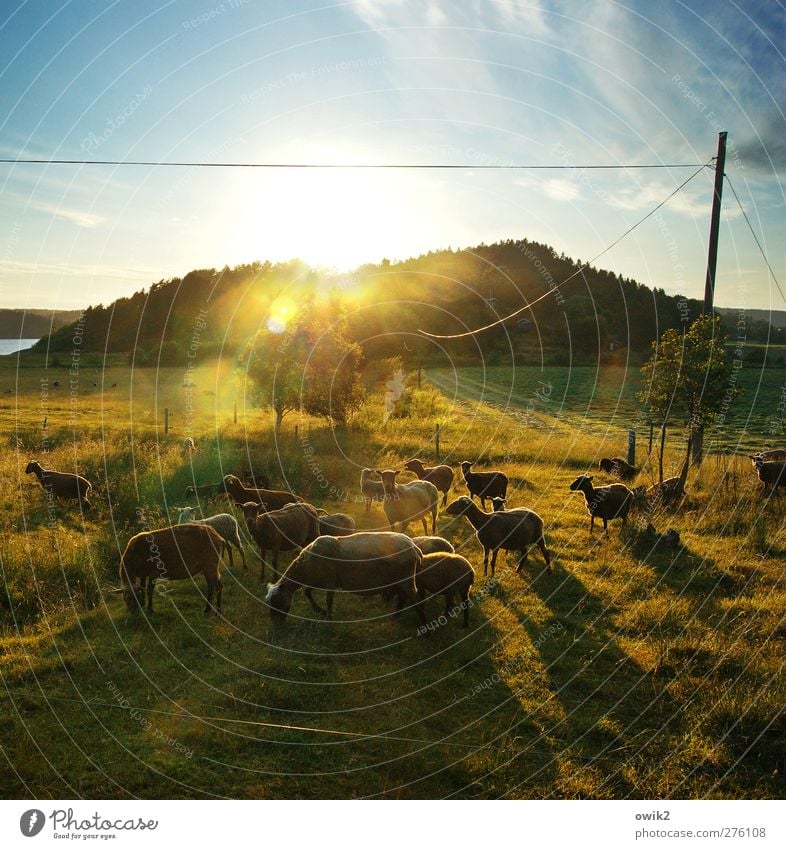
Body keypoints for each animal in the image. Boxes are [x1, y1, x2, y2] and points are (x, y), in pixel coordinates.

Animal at [264, 532, 426, 628]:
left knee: (416, 600)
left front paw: (328, 617)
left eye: (276, 601)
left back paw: (426, 630)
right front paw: (320, 611)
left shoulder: (329, 582)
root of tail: (415, 548)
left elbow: (328, 600)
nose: (276, 626)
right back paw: (395, 618)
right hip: (400, 581)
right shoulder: (318, 580)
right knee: (403, 598)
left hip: (406, 579)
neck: (306, 567)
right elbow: (307, 592)